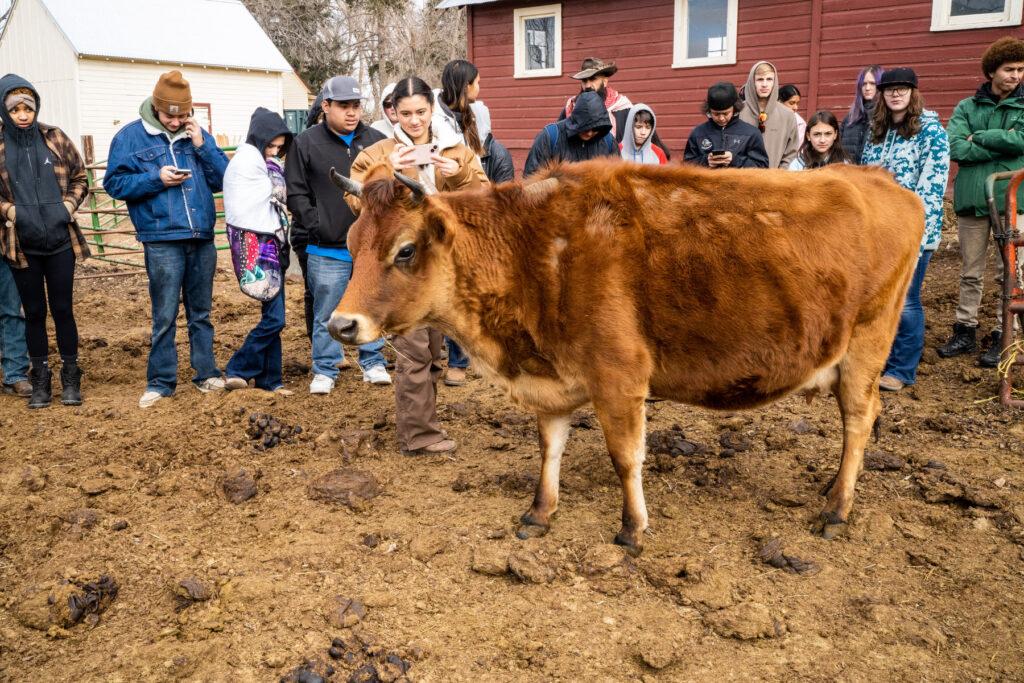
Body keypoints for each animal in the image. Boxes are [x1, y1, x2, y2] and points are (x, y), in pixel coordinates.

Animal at [329, 157, 929, 552]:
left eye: (406, 250)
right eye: (353, 243)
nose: (340, 324)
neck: (532, 252)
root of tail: (877, 178)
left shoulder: (618, 377)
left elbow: (625, 456)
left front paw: (632, 528)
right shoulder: (551, 381)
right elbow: (549, 449)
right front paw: (539, 513)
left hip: (865, 348)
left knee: (860, 420)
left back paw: (836, 508)